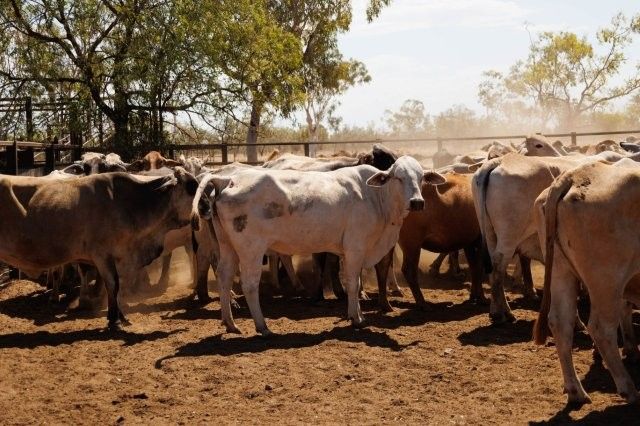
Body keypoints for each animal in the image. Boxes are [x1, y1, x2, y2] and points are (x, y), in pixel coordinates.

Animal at [0, 168, 198, 329]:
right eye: (192, 187)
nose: (202, 210)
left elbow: (116, 287)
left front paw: (119, 316)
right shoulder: (102, 256)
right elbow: (113, 285)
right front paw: (115, 320)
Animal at [192, 156, 444, 335]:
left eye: (421, 177)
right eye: (398, 177)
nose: (417, 202)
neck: (376, 198)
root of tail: (228, 180)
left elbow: (354, 282)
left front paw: (355, 314)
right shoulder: (355, 248)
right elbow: (353, 283)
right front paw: (357, 319)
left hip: (228, 247)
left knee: (224, 277)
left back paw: (230, 323)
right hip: (251, 250)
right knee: (249, 284)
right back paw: (262, 326)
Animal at [533, 161, 640, 405]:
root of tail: (575, 175)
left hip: (561, 272)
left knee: (560, 322)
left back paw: (576, 391)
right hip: (607, 280)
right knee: (601, 329)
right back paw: (629, 389)